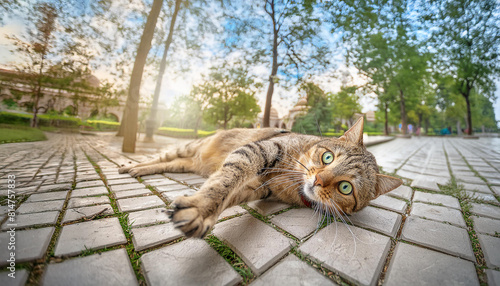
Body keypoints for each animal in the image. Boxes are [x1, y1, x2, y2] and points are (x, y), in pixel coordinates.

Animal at [120, 117, 402, 238]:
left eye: (345, 188)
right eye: (328, 157)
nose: (318, 181)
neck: (292, 181)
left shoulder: (258, 188)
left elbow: (229, 193)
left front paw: (207, 212)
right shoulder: (258, 150)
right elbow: (225, 180)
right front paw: (201, 208)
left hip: (185, 163)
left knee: (173, 163)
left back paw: (138, 170)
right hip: (186, 147)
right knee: (160, 156)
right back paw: (133, 165)